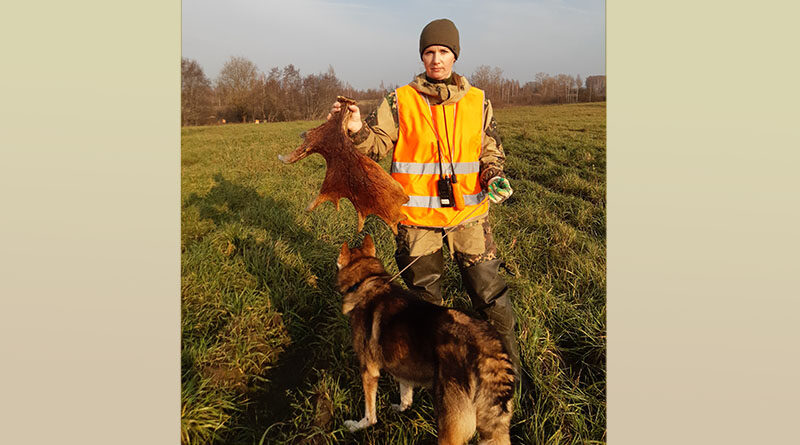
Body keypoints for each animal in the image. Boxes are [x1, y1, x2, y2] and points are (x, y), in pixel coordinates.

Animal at [336, 234, 512, 442]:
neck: (367, 281)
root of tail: (490, 351)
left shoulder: (368, 371)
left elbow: (370, 415)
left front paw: (356, 426)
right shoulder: (403, 366)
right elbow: (406, 395)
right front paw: (401, 408)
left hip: (450, 427)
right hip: (497, 432)